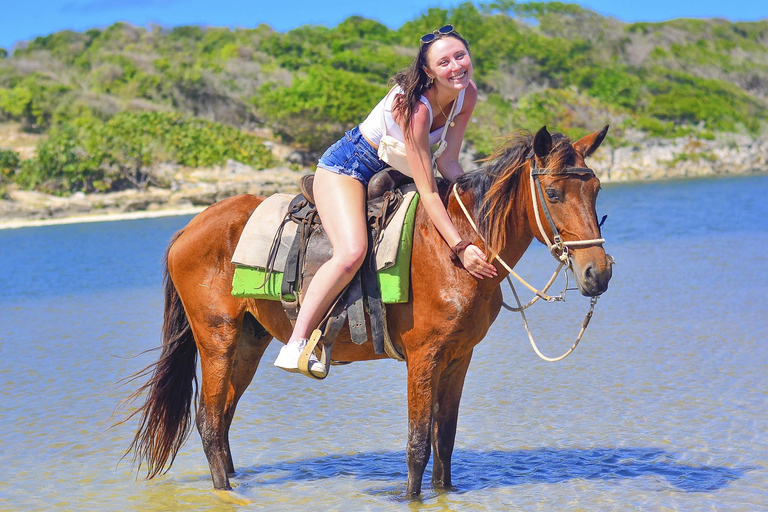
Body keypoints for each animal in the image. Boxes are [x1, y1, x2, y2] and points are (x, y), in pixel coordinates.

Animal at [127, 125, 616, 496]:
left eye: (595, 189)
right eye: (552, 192)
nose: (599, 273)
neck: (455, 246)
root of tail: (189, 227)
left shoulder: (459, 358)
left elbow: (445, 439)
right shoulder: (424, 357)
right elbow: (418, 444)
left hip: (248, 342)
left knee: (224, 419)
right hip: (217, 339)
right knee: (209, 422)